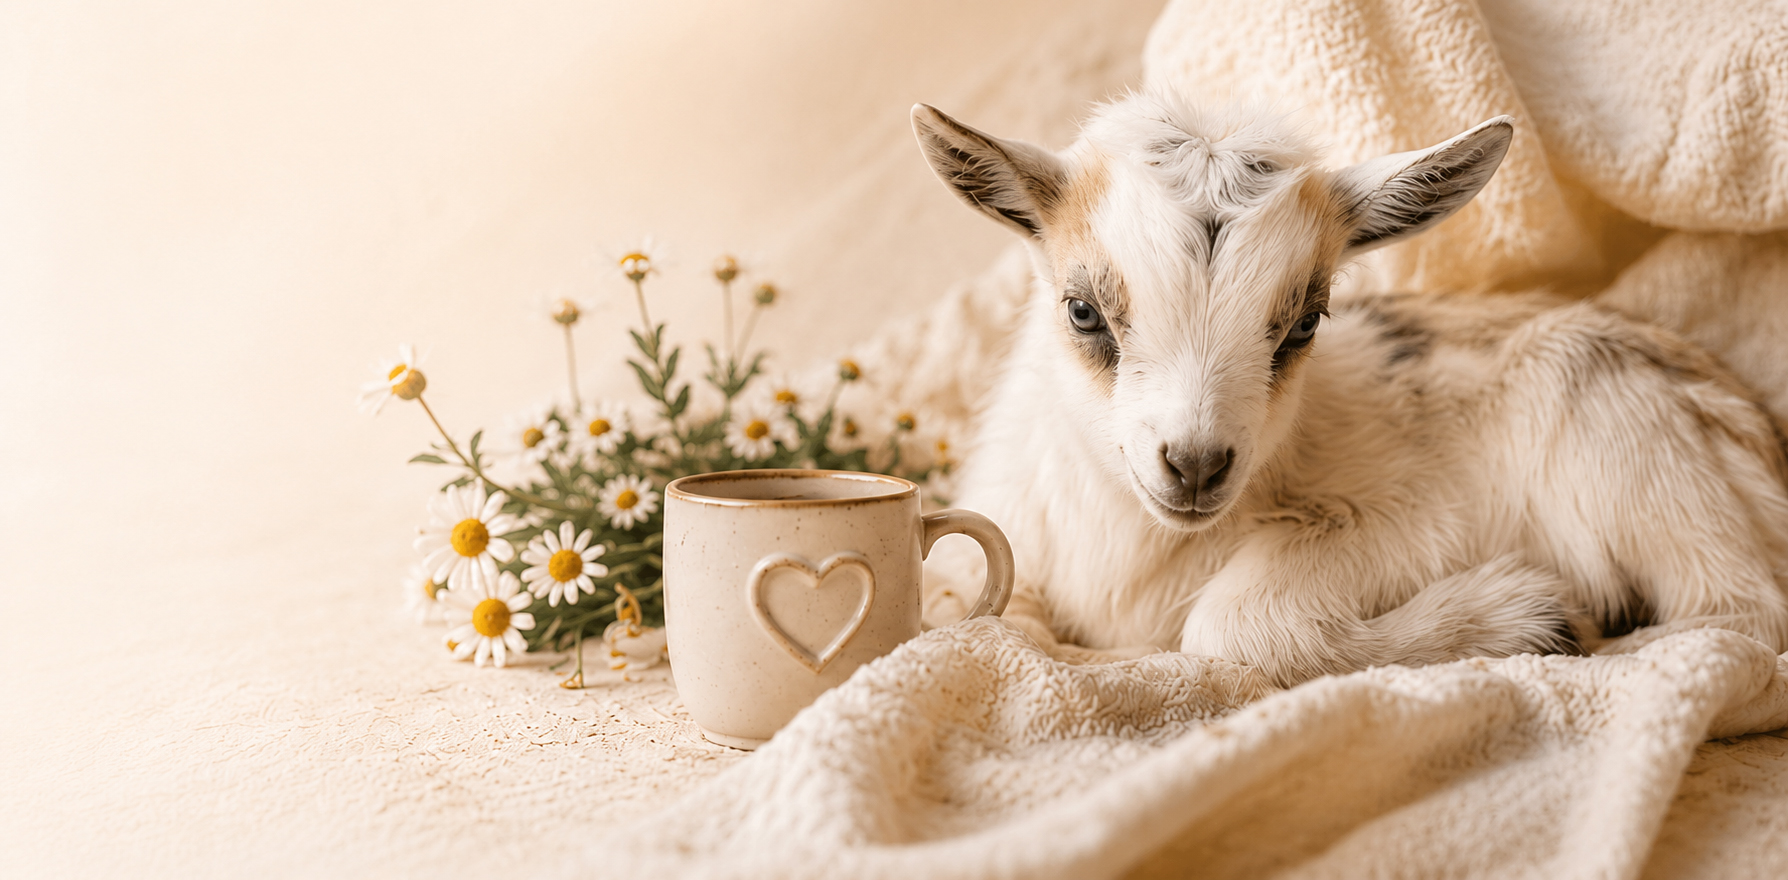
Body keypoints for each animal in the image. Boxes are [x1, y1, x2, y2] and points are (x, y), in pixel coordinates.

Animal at [912, 89, 1788, 686]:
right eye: (1083, 310)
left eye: (1306, 321)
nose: (1195, 467)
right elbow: (969, 613)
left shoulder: (1412, 516)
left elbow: (1225, 625)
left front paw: (1534, 619)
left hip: (1618, 433)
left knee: (1742, 616)